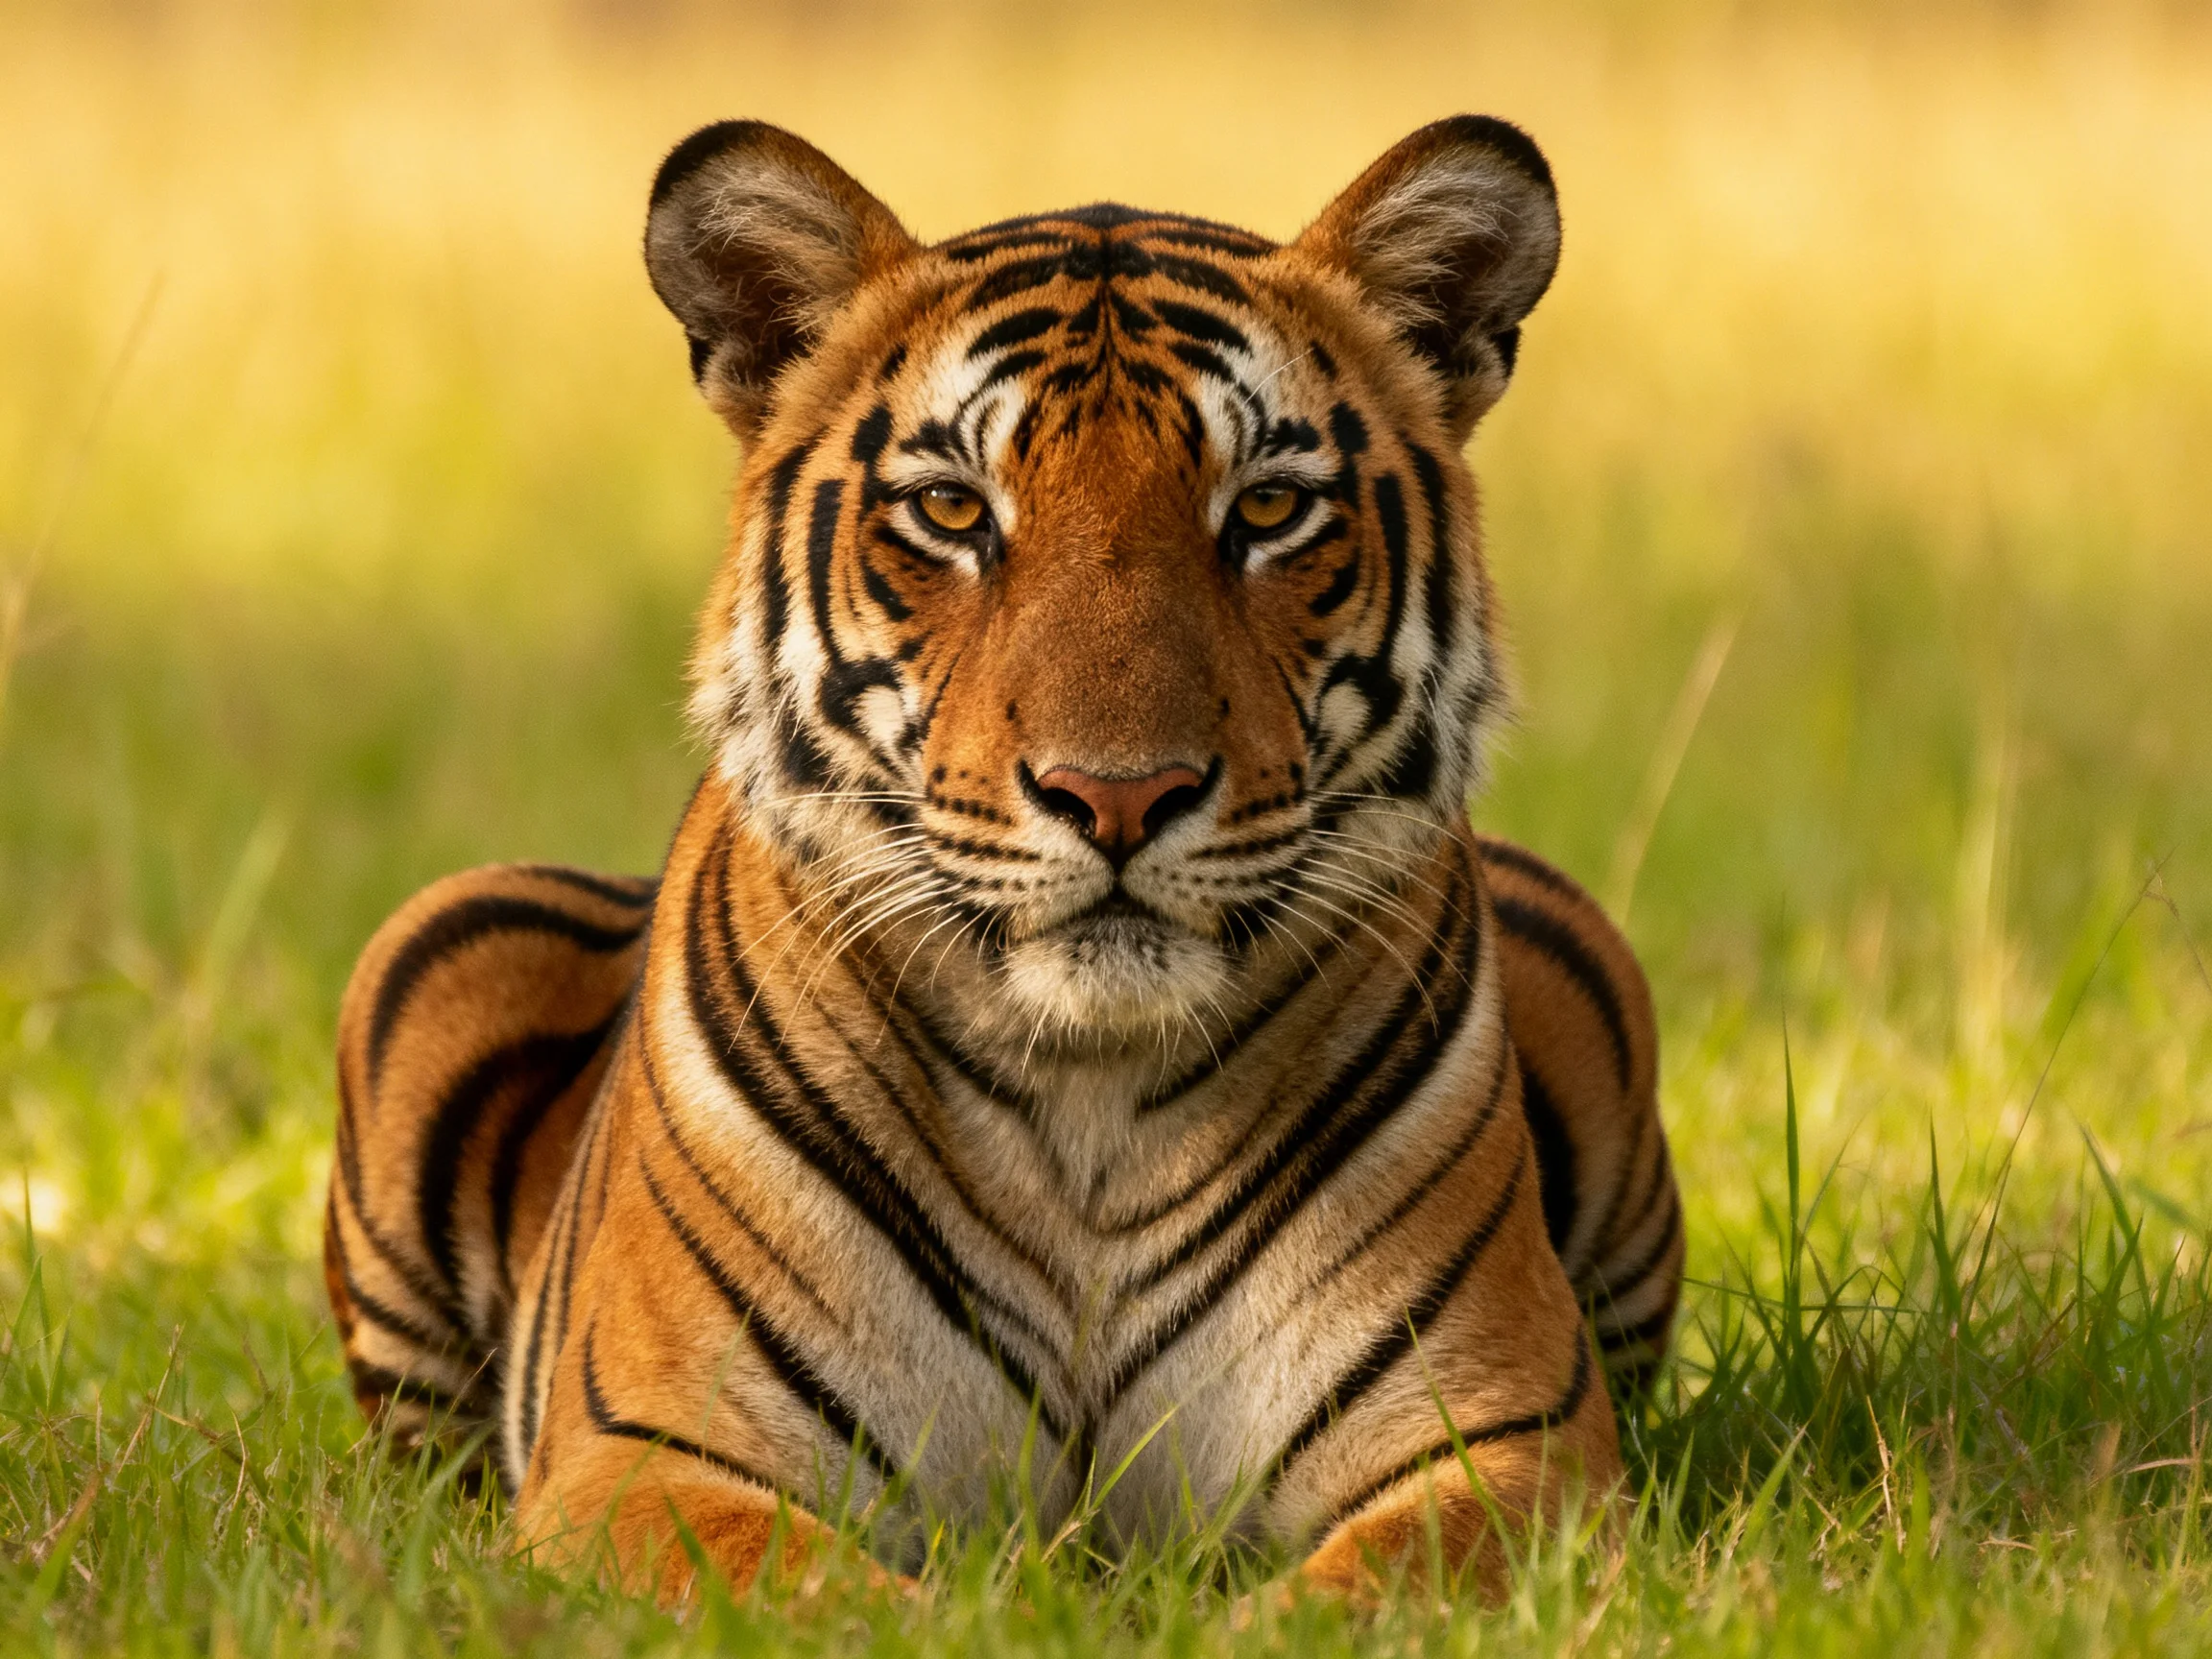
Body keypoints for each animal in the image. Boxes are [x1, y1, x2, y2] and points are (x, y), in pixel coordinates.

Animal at [323, 115, 1682, 1605]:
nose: (1120, 794)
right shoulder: (654, 1456)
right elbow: (838, 1601)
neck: (1090, 1103)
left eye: (1268, 508)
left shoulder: (1508, 1445)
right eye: (953, 512)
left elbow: (1360, 1597)